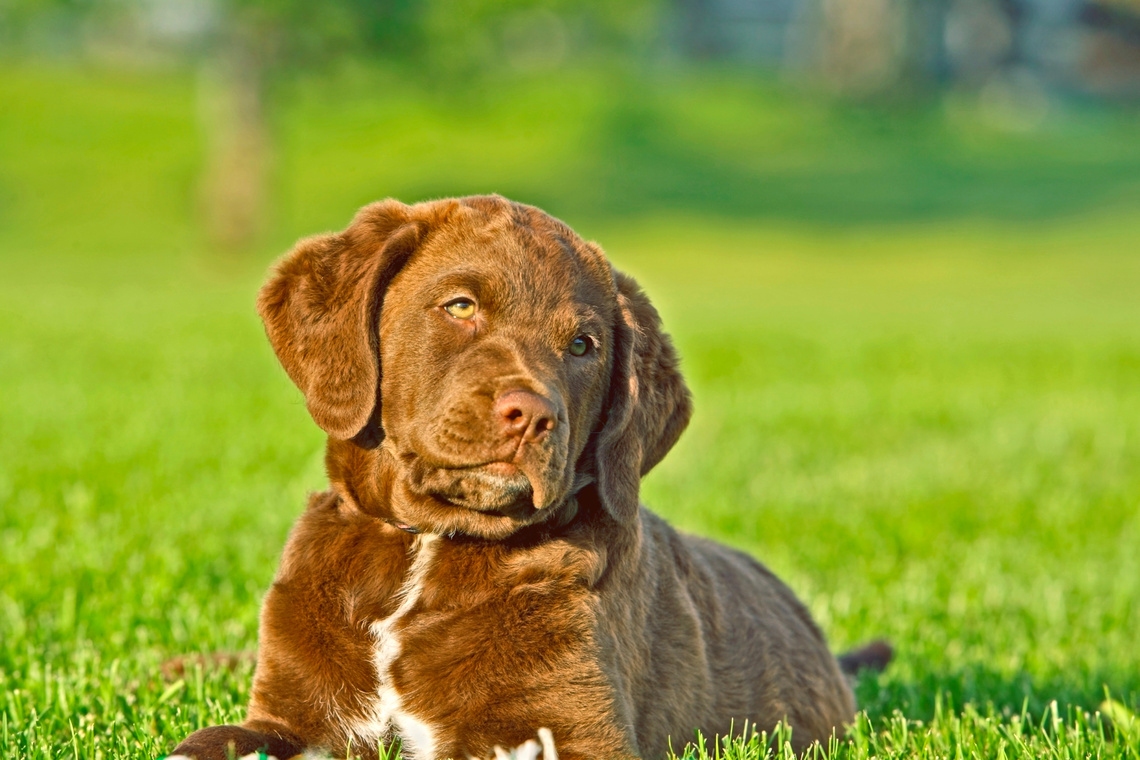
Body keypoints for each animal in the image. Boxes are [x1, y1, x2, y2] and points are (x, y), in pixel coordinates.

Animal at [171, 194, 889, 760]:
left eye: (582, 346)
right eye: (461, 306)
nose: (533, 416)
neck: (427, 546)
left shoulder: (575, 729)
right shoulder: (287, 716)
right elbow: (209, 742)